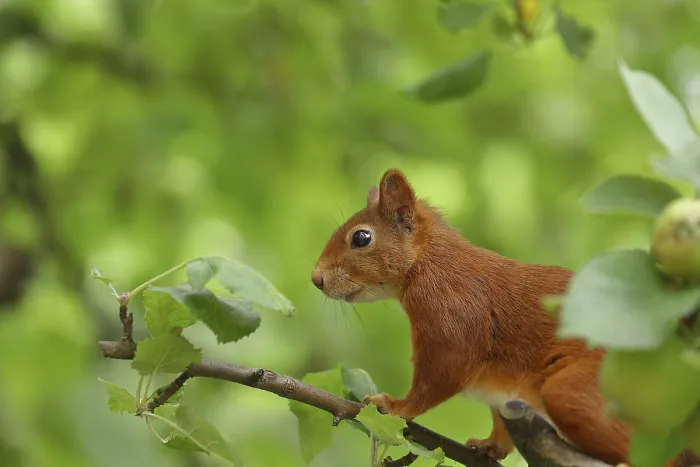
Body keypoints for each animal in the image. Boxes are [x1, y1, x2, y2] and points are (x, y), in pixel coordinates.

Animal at [311, 168, 699, 467]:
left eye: (361, 238)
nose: (316, 279)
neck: (429, 263)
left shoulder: (454, 319)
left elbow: (437, 378)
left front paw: (394, 406)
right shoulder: (503, 390)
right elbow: (500, 420)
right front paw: (489, 446)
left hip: (583, 390)